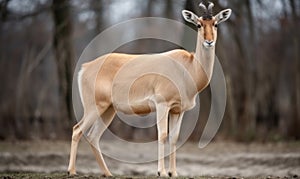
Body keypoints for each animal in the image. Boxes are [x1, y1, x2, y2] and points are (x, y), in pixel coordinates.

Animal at [68, 1, 232, 178]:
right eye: (199, 24)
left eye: (215, 23)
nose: (209, 42)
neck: (188, 67)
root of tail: (86, 67)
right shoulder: (162, 105)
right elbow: (162, 135)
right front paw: (162, 172)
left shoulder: (178, 110)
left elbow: (174, 138)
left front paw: (173, 173)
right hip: (94, 107)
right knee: (77, 130)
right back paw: (72, 171)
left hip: (108, 110)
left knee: (93, 136)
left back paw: (108, 173)